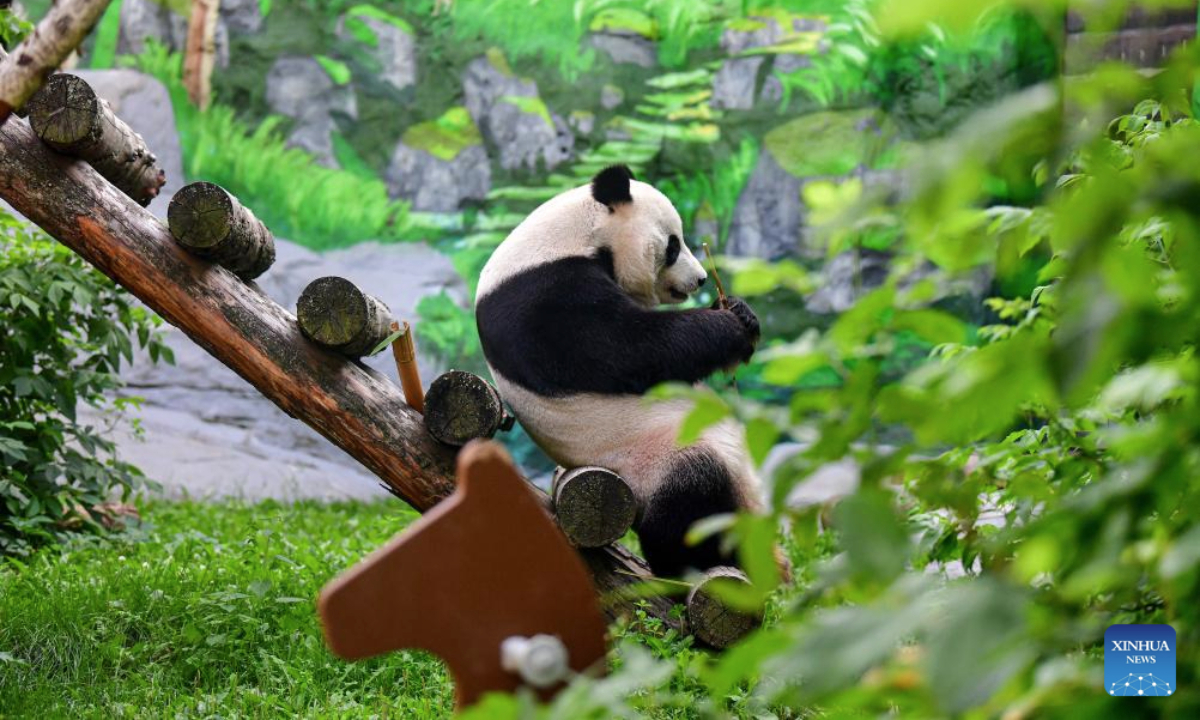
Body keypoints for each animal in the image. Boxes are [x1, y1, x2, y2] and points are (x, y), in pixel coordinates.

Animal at [475, 164, 764, 578]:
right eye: (673, 245)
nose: (701, 279)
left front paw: (741, 311)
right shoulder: (541, 299)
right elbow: (632, 349)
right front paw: (730, 328)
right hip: (654, 460)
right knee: (691, 508)